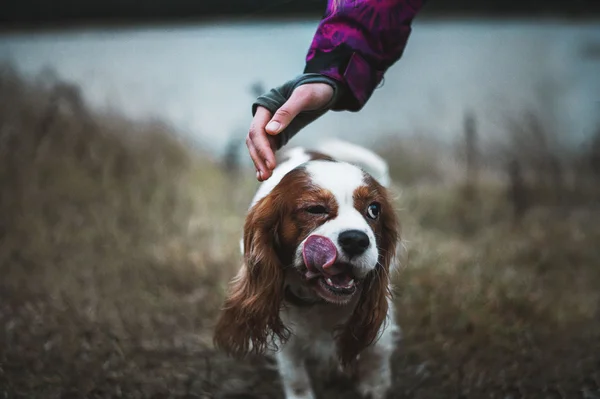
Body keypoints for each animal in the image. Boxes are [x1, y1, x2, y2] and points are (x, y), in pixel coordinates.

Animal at [213, 139, 400, 398]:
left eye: (374, 209)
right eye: (315, 209)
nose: (355, 240)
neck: (320, 302)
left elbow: (377, 357)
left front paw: (373, 387)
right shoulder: (287, 337)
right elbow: (296, 377)